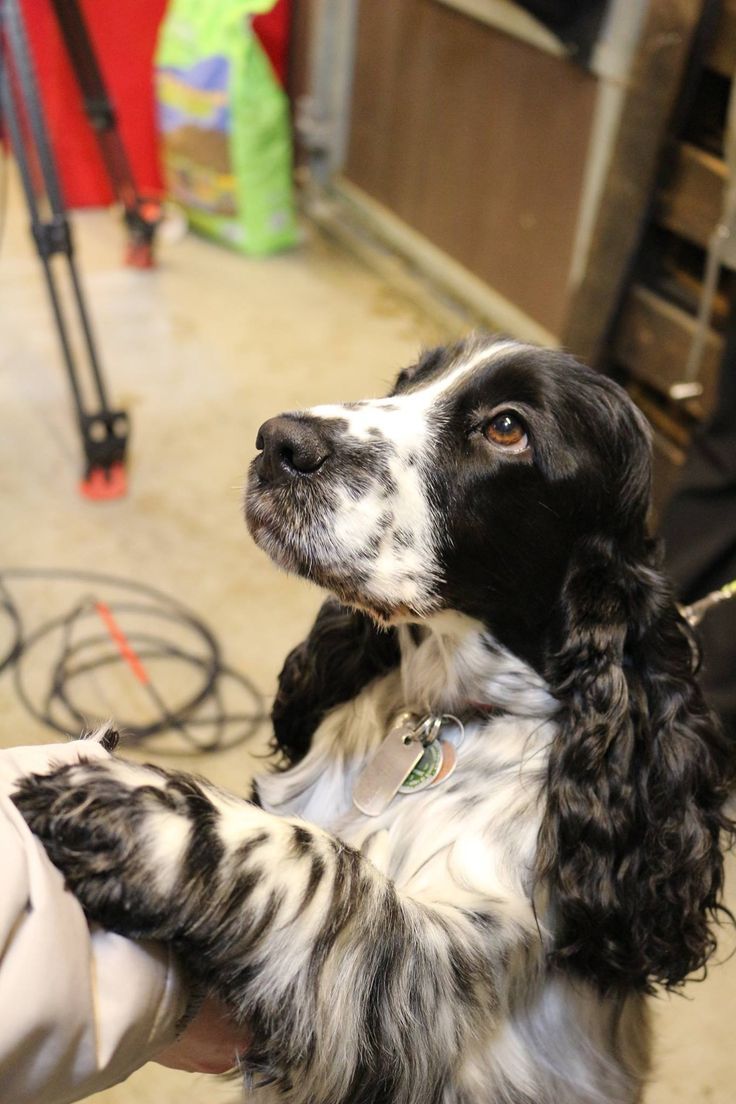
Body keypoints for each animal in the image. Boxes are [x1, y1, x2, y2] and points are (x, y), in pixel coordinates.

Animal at [14, 335, 732, 1104]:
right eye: (407, 380)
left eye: (508, 427)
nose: (280, 441)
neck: (446, 711)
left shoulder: (430, 991)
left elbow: (327, 868)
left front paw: (133, 811)